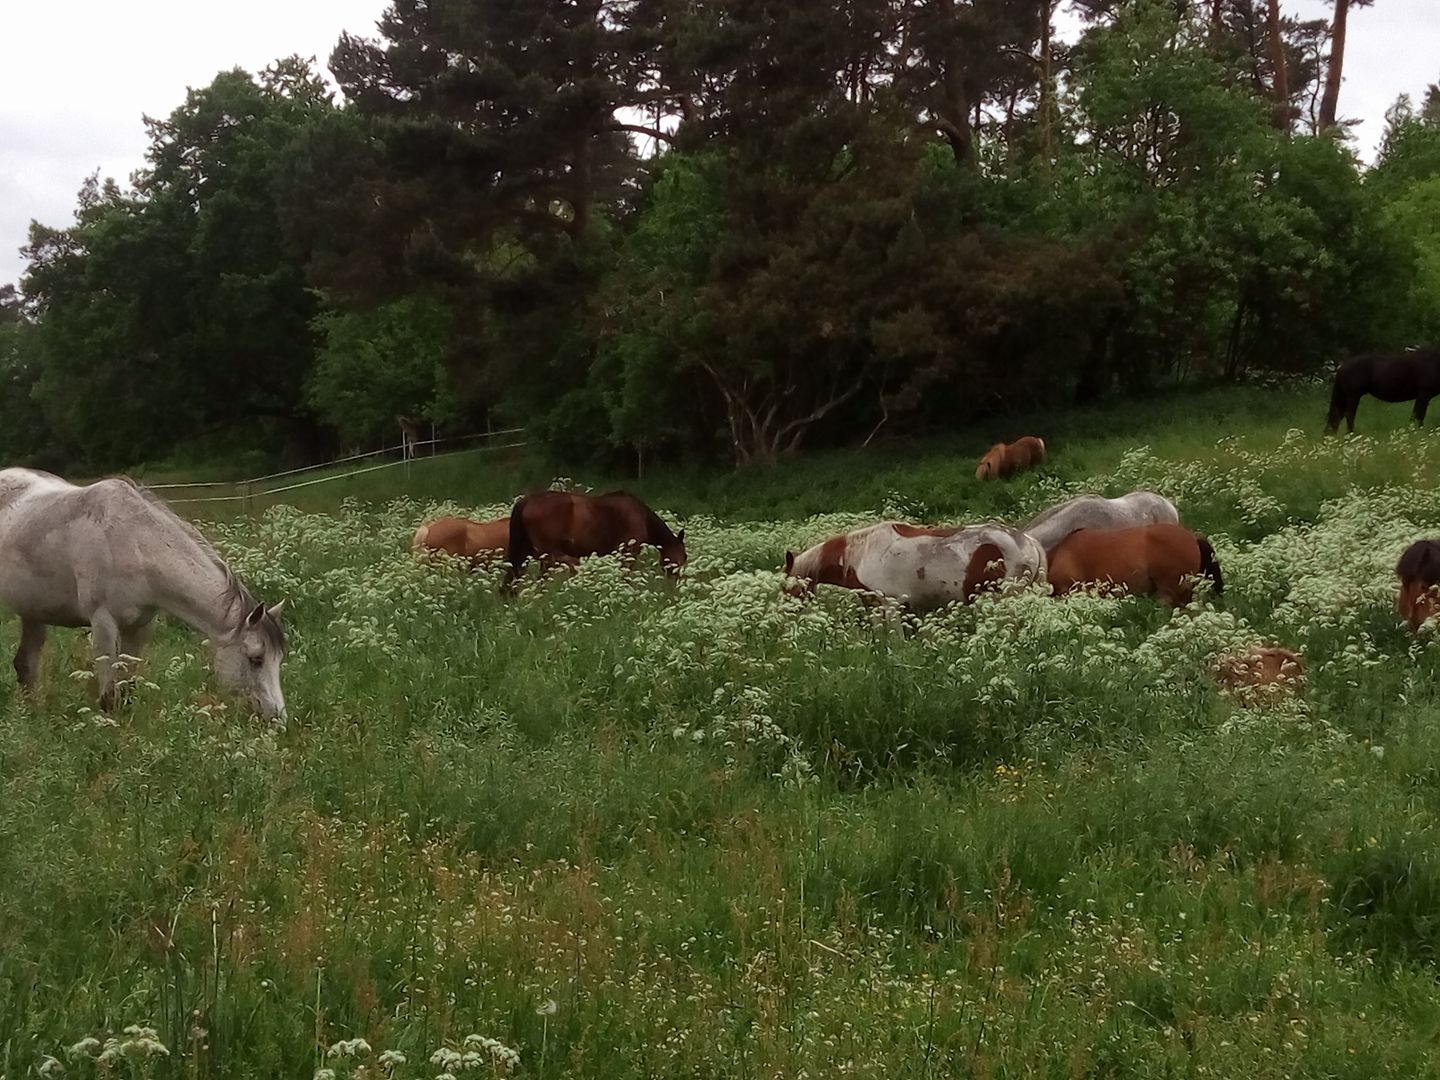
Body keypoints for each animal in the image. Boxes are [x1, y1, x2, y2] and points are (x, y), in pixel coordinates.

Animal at [0, 469, 288, 722]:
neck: (134, 542)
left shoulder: (140, 627)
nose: (277, 718)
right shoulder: (103, 623)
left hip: (33, 611)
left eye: (279, 658)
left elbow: (126, 688)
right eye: (256, 659)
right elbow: (108, 696)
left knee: (26, 666)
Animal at [504, 490, 686, 588]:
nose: (675, 582)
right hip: (547, 554)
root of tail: (526, 501)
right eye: (684, 556)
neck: (641, 516)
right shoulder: (629, 551)